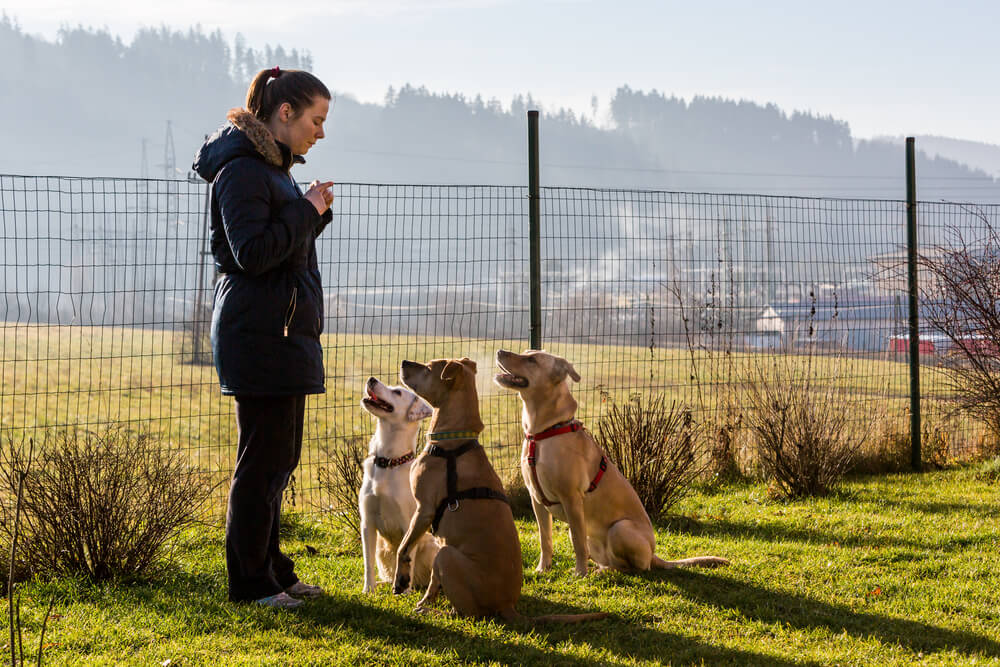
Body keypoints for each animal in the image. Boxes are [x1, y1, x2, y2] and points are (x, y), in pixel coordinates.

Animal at [360, 378, 438, 592]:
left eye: (397, 392)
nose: (371, 379)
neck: (388, 462)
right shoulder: (367, 523)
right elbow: (367, 563)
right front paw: (368, 590)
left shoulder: (407, 522)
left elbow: (405, 556)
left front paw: (406, 592)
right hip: (381, 549)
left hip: (431, 545)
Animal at [394, 358, 604, 624]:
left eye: (429, 367)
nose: (403, 362)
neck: (452, 443)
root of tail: (507, 605)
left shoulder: (423, 510)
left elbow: (403, 547)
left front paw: (400, 580)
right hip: (443, 553)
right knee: (439, 581)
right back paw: (429, 604)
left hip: (447, 556)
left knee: (467, 613)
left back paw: (436, 611)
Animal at [496, 352, 732, 576]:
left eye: (532, 360)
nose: (499, 351)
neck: (543, 433)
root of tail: (653, 554)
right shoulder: (537, 500)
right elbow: (545, 540)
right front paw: (542, 569)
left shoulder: (572, 499)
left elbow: (577, 543)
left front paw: (580, 573)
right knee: (612, 561)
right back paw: (601, 569)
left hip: (620, 528)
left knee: (637, 568)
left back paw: (602, 572)